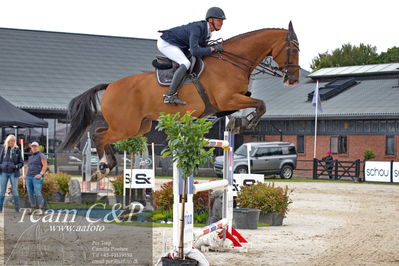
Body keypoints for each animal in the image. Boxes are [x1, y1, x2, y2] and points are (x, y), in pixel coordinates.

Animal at [61, 20, 300, 179]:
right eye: (292, 49)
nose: (293, 80)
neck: (231, 63)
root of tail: (110, 85)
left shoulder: (231, 101)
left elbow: (252, 104)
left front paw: (236, 122)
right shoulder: (228, 99)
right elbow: (261, 104)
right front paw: (246, 123)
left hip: (138, 126)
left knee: (102, 133)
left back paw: (106, 166)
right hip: (125, 126)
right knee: (99, 136)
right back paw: (103, 167)